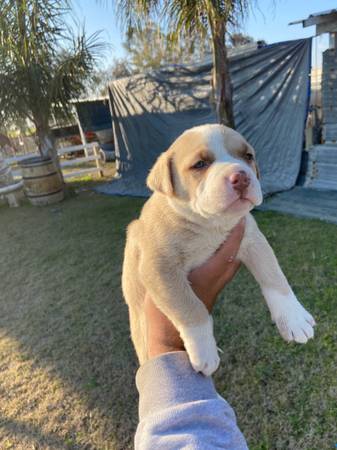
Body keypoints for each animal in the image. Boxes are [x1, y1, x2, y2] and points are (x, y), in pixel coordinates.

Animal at [121, 124, 316, 376]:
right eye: (200, 164)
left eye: (247, 156)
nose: (241, 177)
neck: (210, 224)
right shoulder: (159, 267)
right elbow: (190, 307)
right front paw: (204, 351)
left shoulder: (253, 240)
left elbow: (275, 278)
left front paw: (294, 318)